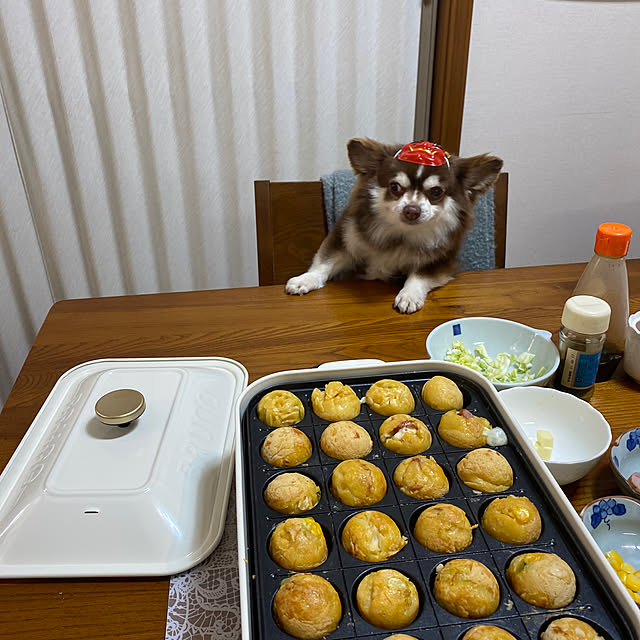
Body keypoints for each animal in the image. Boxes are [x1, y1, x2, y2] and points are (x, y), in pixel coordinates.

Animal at [286, 138, 504, 312]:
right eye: (395, 187)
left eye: (436, 192)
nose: (412, 210)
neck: (400, 234)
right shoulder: (344, 238)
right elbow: (324, 262)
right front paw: (306, 279)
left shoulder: (442, 261)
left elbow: (419, 275)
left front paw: (409, 295)